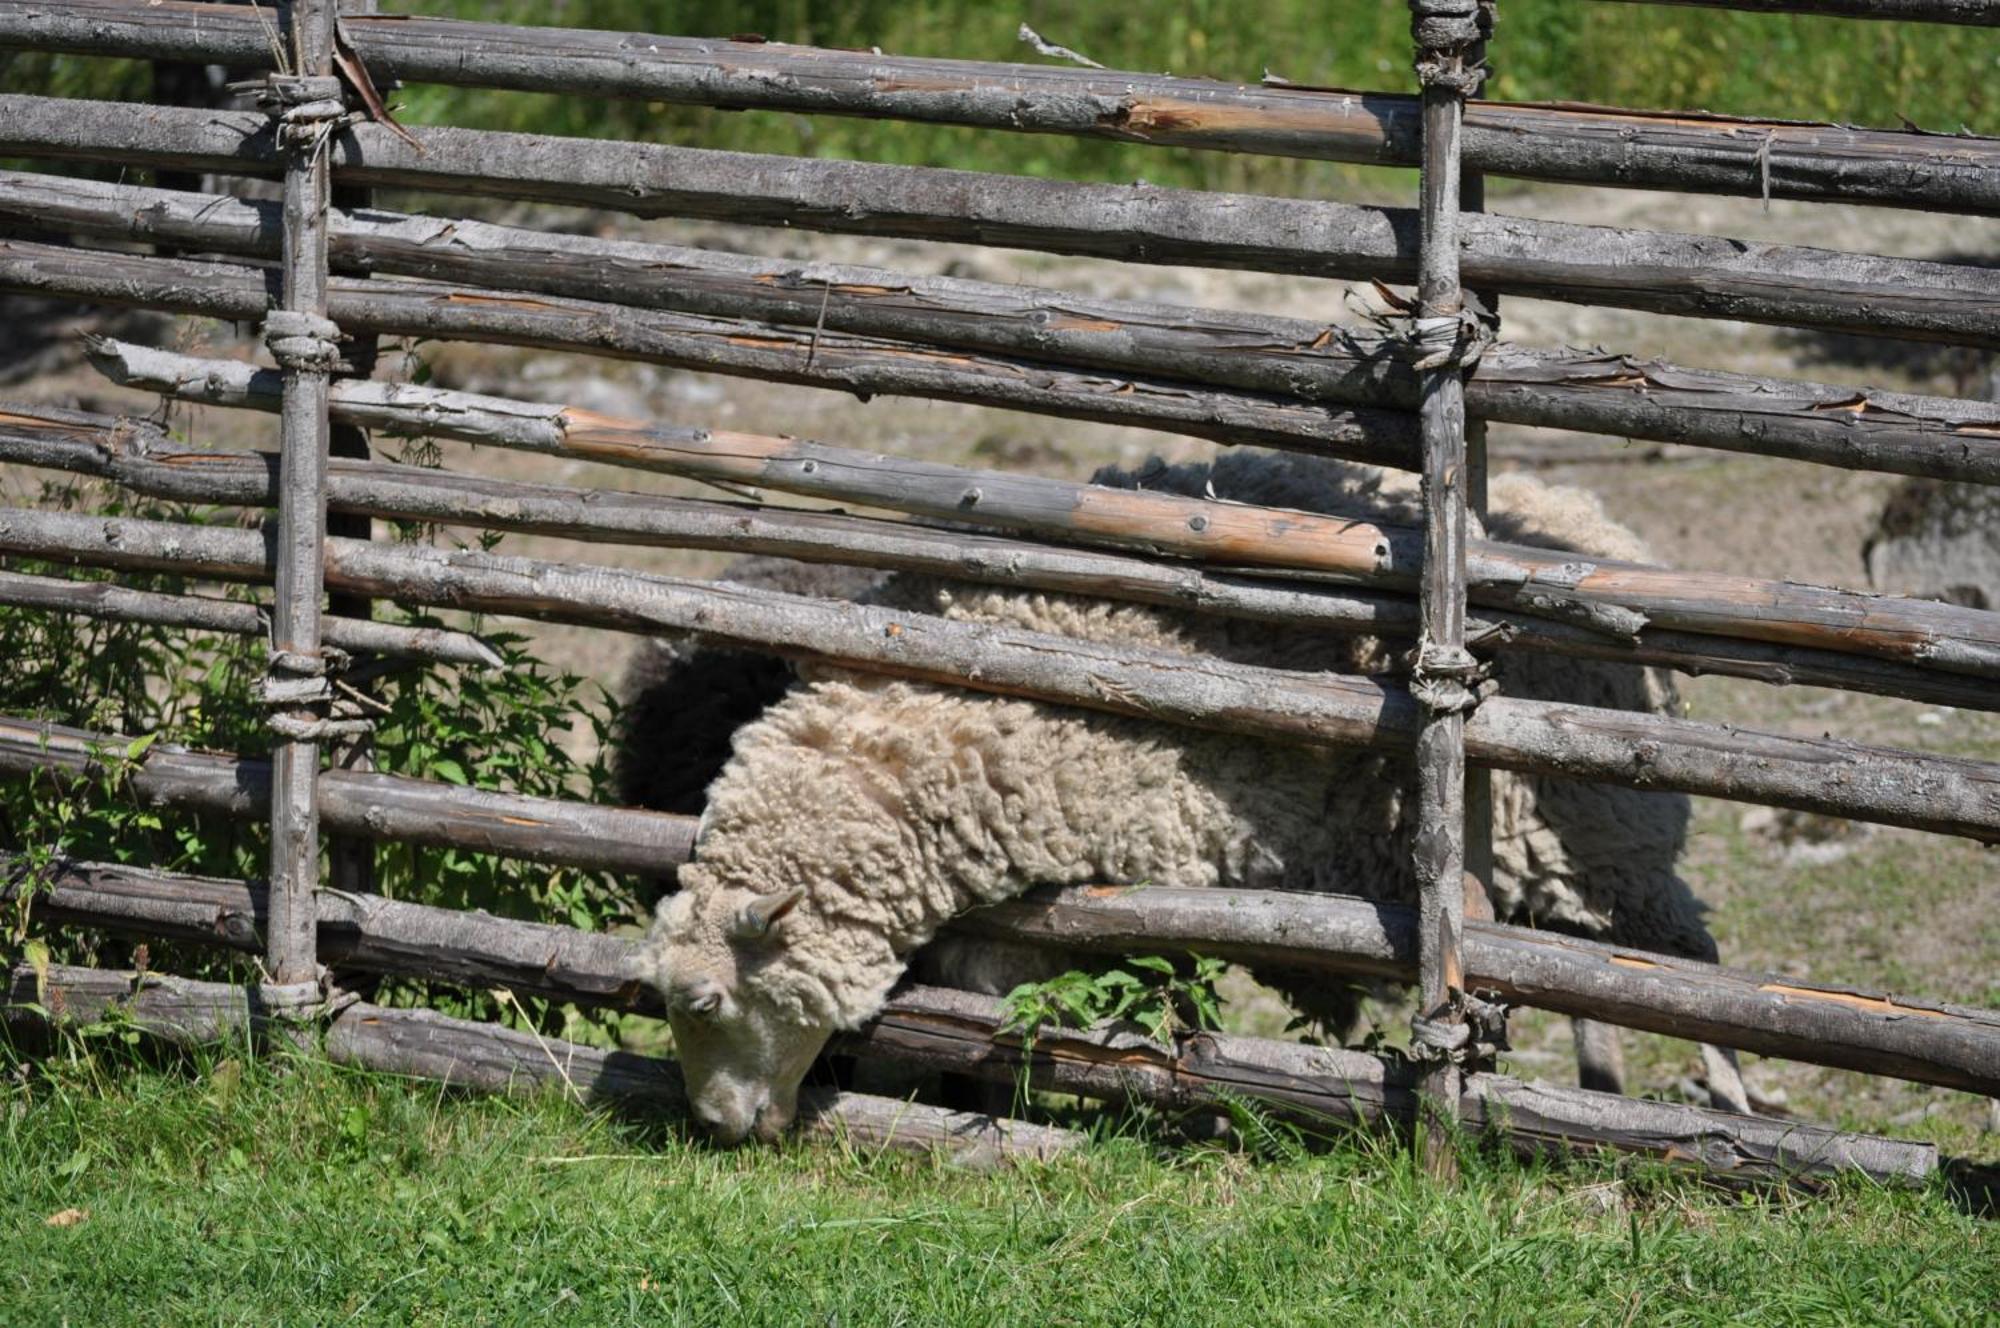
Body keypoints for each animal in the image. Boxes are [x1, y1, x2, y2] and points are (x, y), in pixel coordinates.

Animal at [644, 448, 1752, 1144]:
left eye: (703, 1000)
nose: (714, 1128)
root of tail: (1586, 522)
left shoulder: (1137, 872)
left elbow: (1050, 1001)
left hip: (1605, 836)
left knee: (1682, 967)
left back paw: (1734, 1108)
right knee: (1589, 983)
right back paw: (1604, 1092)